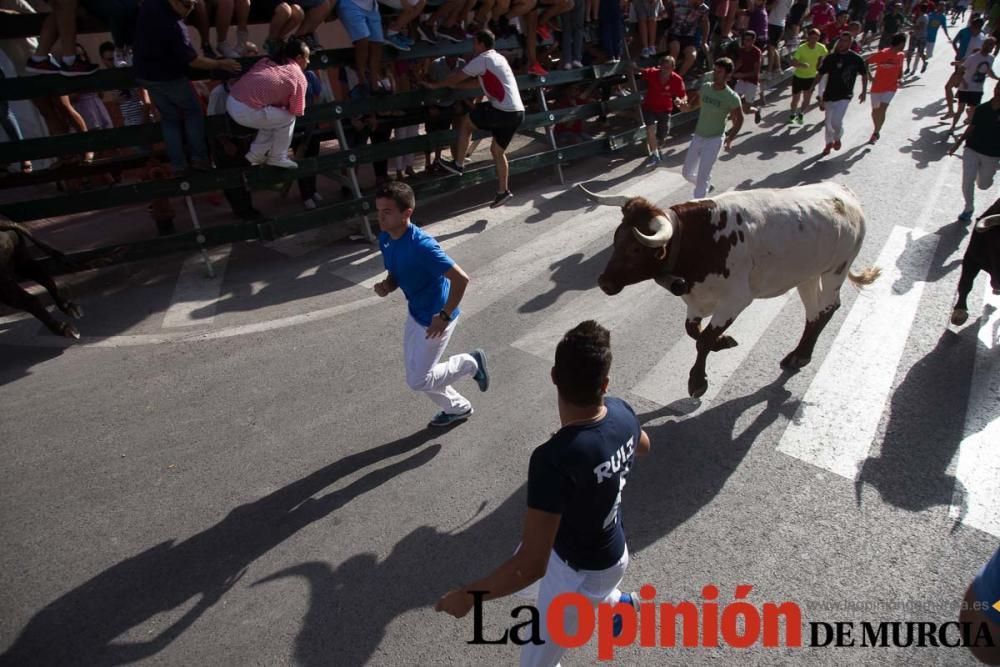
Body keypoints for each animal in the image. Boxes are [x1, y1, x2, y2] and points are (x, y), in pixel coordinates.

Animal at [580, 181, 884, 396]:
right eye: (616, 239)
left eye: (634, 249)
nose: (604, 282)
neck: (701, 239)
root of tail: (845, 193)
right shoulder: (696, 301)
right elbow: (693, 331)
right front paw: (723, 343)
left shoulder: (736, 300)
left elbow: (703, 340)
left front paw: (697, 381)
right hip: (807, 276)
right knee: (814, 312)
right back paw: (800, 355)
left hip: (836, 270)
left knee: (829, 308)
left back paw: (800, 355)